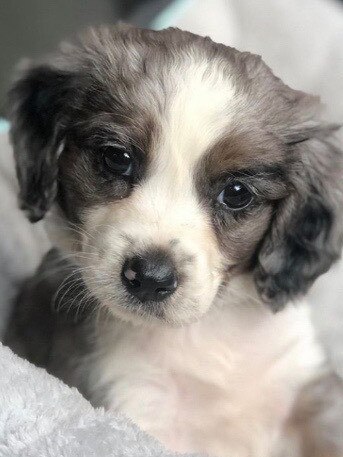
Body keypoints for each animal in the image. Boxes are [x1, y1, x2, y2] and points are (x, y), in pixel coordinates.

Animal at [4, 25, 343, 456]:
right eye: (117, 158)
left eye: (236, 193)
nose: (150, 278)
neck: (205, 330)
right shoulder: (135, 405)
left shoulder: (307, 385)